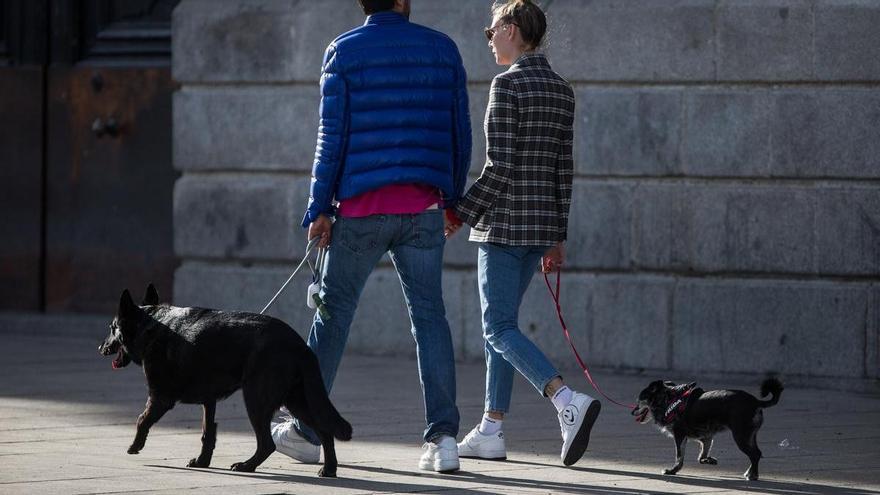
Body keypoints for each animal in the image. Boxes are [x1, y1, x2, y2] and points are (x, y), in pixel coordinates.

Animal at [98, 286, 352, 476]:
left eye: (112, 328)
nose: (100, 347)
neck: (151, 325)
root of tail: (298, 344)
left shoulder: (160, 397)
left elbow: (142, 420)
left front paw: (135, 446)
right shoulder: (208, 401)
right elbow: (208, 432)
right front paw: (202, 461)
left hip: (257, 400)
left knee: (267, 443)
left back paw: (247, 466)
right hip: (297, 400)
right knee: (324, 431)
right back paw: (329, 469)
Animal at [632, 380, 784, 480]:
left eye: (639, 401)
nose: (632, 411)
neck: (668, 400)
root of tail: (756, 402)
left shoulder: (680, 435)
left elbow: (679, 456)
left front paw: (673, 470)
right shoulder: (706, 437)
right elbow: (701, 455)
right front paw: (708, 460)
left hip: (741, 436)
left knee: (755, 454)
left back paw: (752, 475)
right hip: (750, 435)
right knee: (757, 453)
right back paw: (750, 472)